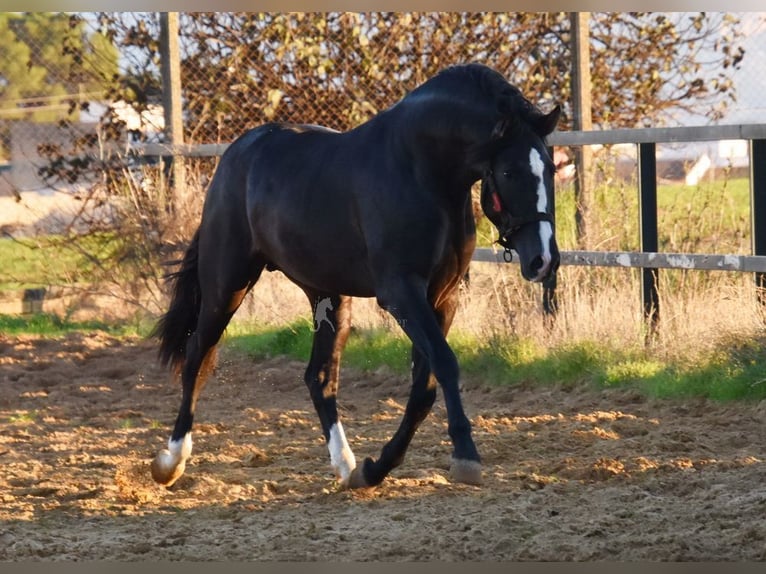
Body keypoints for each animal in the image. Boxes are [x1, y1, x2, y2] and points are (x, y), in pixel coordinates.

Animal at [152, 65, 560, 492]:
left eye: (549, 168)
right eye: (509, 171)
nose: (544, 259)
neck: (422, 170)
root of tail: (236, 154)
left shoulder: (442, 298)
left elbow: (424, 387)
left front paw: (374, 468)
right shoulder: (401, 293)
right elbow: (445, 366)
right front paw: (466, 457)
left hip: (328, 295)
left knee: (318, 377)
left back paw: (346, 467)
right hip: (226, 285)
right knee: (197, 355)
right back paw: (170, 462)